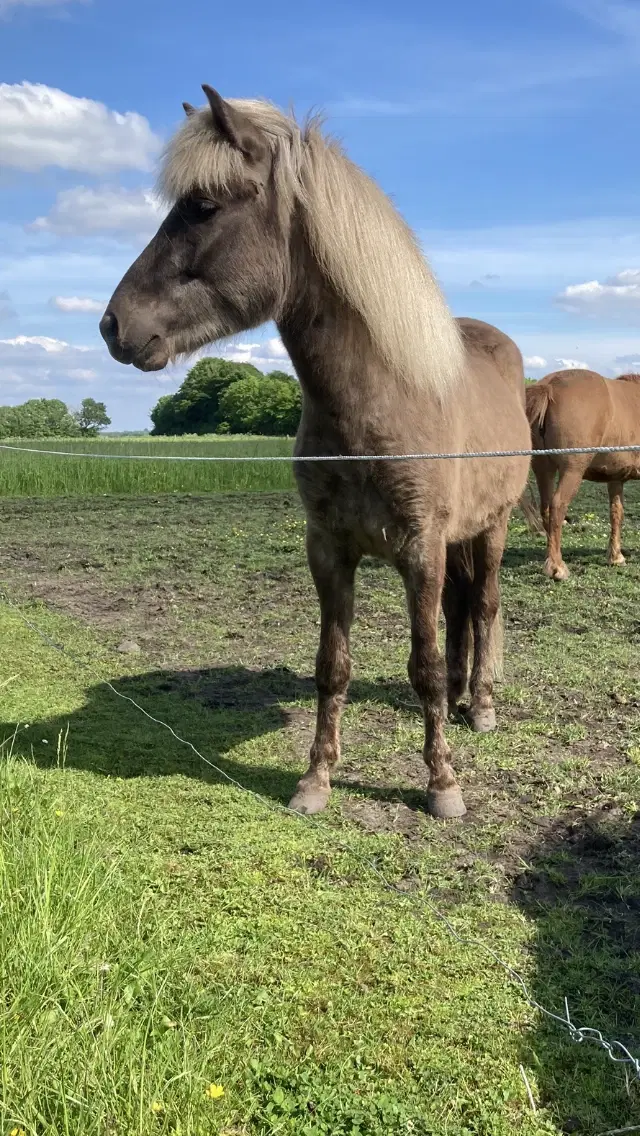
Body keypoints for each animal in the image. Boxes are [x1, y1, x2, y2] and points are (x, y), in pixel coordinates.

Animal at [100, 86, 532, 817]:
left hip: (491, 528)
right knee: (458, 612)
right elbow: (334, 667)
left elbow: (422, 664)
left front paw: (442, 784)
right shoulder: (329, 548)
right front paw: (315, 779)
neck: (379, 402)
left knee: (484, 606)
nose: (113, 325)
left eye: (204, 206)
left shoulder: (420, 546)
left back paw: (480, 706)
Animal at [525, 370, 640, 581]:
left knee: (546, 508)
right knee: (557, 506)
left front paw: (615, 556)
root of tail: (550, 386)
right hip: (572, 471)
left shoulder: (615, 478)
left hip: (543, 469)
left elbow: (616, 513)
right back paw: (557, 567)